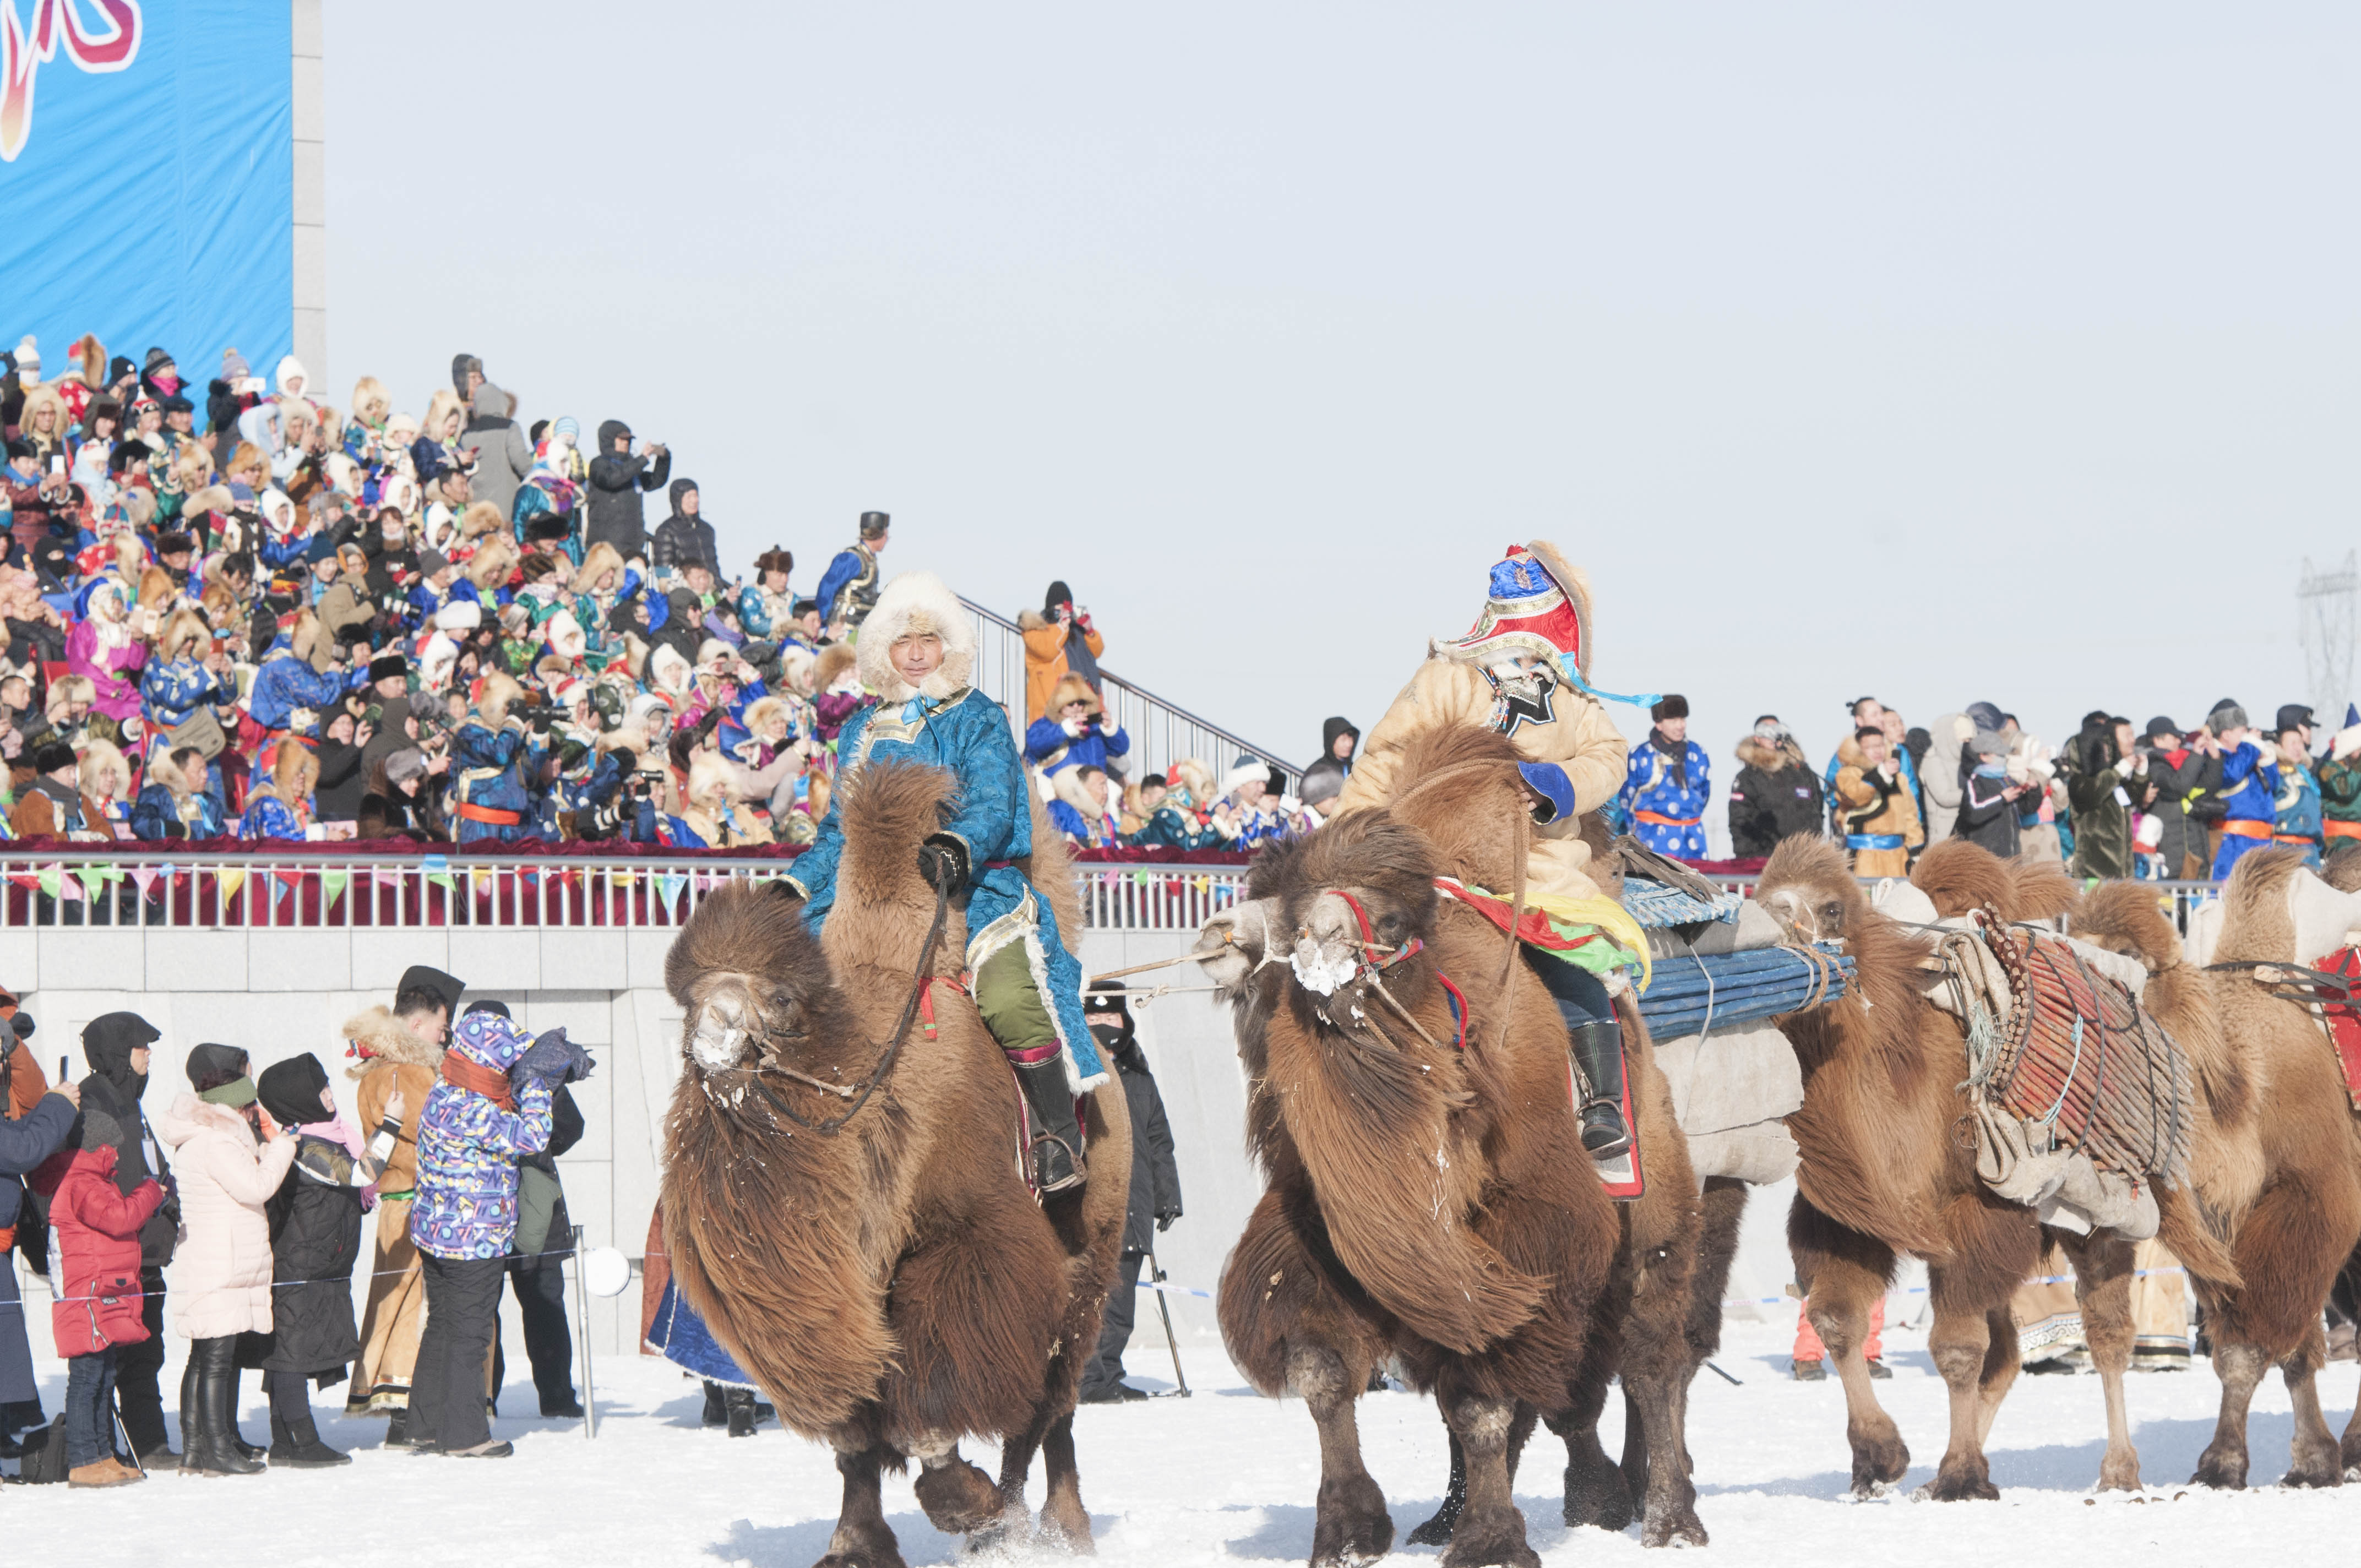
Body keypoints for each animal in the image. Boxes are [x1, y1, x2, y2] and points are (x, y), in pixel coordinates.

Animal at [656, 760, 1133, 1567]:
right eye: (686, 999)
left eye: (779, 998)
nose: (712, 1045)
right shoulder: (849, 1293)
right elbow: (857, 1434)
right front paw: (855, 1545)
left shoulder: (967, 1243)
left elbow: (932, 1406)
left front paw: (961, 1504)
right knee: (1034, 1412)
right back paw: (1006, 1524)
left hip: (1088, 1259)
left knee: (1055, 1399)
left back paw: (1054, 1529)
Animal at [1199, 727, 1718, 1558]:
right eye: (1282, 915)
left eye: (1391, 922)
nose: (1314, 949)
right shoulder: (1332, 1234)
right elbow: (1322, 1370)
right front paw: (1349, 1529)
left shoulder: (1525, 1234)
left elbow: (1482, 1397)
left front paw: (1489, 1544)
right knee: (1569, 1383)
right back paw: (1534, 1506)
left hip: (1655, 1218)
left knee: (1649, 1357)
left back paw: (1668, 1518)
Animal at [1756, 840, 2228, 1501]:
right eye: (1755, 895)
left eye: (1829, 907)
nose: (1773, 923)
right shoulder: (1848, 1220)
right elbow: (1836, 1319)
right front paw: (1880, 1458)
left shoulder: (1976, 1213)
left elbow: (1956, 1348)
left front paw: (1958, 1474)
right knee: (2009, 1354)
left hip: (2102, 1210)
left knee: (2106, 1334)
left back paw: (2117, 1470)